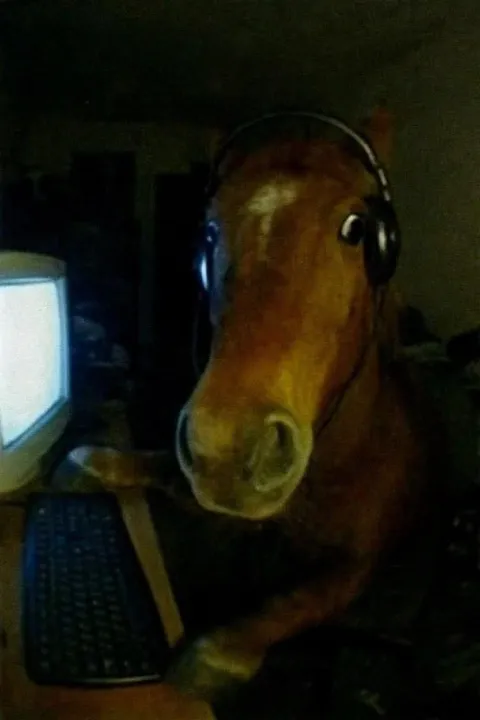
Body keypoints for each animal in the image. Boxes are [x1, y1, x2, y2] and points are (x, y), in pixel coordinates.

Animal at [72, 108, 443, 707]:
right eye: (209, 231)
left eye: (356, 228)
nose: (228, 445)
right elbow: (153, 464)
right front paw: (93, 461)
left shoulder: (357, 564)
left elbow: (297, 601)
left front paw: (221, 653)